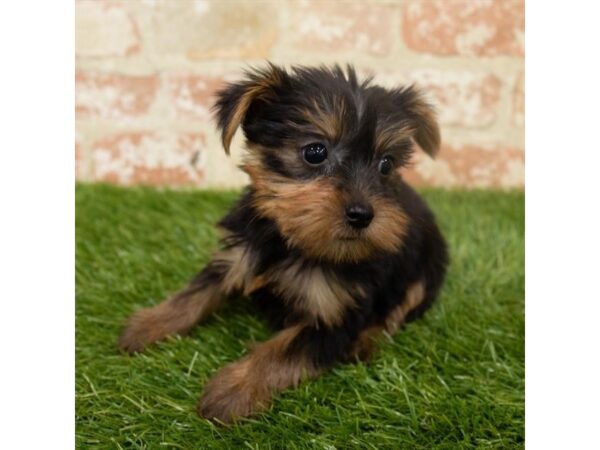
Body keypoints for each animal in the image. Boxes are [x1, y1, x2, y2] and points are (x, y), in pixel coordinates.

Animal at [117, 63, 448, 422]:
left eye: (386, 164)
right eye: (315, 152)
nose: (362, 214)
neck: (292, 240)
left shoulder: (335, 312)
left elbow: (283, 349)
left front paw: (232, 390)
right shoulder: (239, 255)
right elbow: (197, 290)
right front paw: (148, 325)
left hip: (427, 269)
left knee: (400, 308)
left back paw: (366, 342)